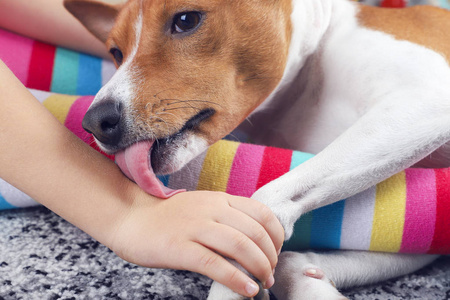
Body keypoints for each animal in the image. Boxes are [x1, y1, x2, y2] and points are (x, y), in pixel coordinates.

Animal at [65, 0, 450, 298]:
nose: (95, 121)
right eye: (116, 53)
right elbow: (291, 264)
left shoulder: (426, 99)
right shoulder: (424, 225)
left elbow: (261, 207)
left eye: (186, 20)